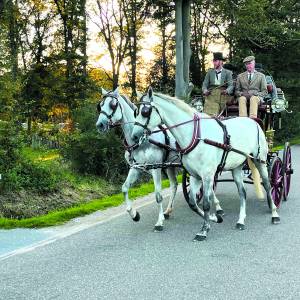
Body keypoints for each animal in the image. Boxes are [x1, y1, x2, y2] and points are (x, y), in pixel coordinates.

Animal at [96, 88, 180, 231]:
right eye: (100, 105)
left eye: (113, 104)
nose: (100, 125)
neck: (141, 141)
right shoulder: (135, 168)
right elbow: (124, 188)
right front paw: (134, 214)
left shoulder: (155, 168)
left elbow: (158, 195)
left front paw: (159, 222)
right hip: (170, 165)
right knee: (174, 185)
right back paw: (168, 211)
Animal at [132, 86, 280, 241]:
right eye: (136, 111)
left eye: (145, 111)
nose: (134, 136)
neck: (195, 135)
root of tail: (253, 121)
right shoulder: (195, 176)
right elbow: (193, 203)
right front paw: (215, 218)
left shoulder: (207, 175)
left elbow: (206, 204)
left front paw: (204, 229)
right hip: (237, 167)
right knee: (242, 192)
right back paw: (241, 220)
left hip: (260, 160)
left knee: (268, 185)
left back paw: (274, 213)